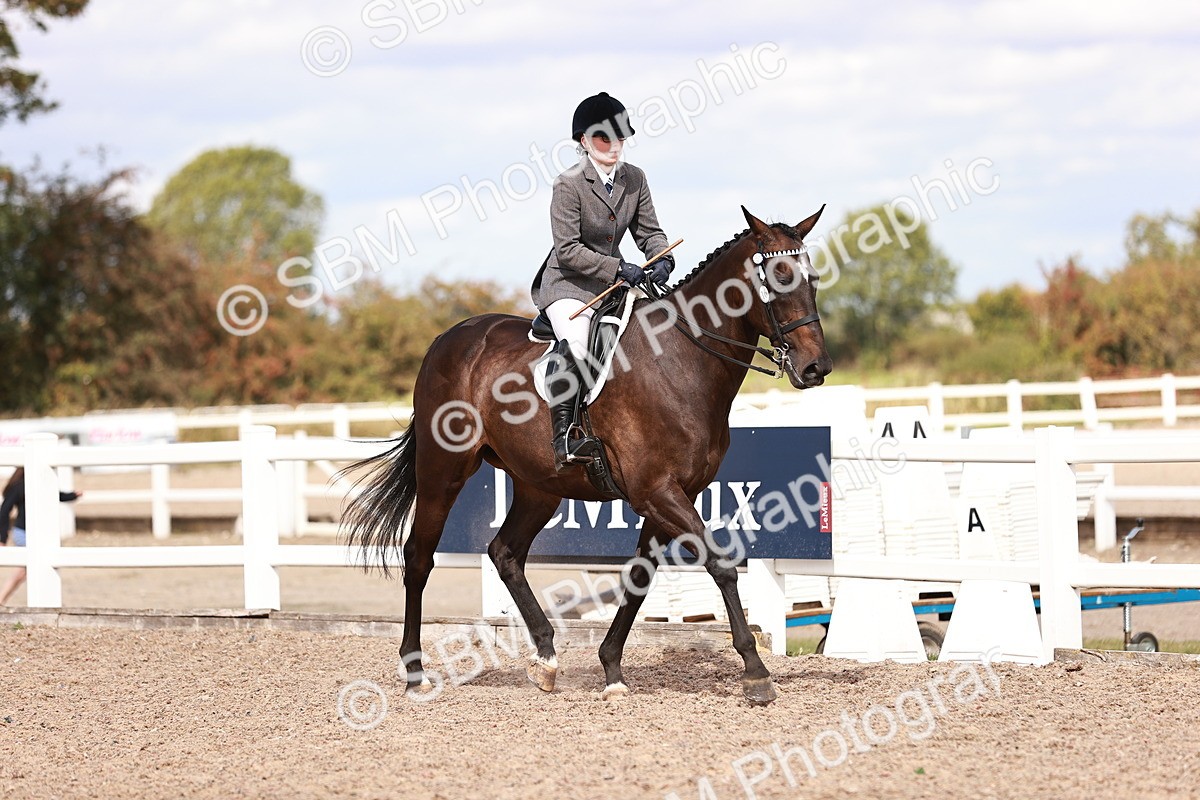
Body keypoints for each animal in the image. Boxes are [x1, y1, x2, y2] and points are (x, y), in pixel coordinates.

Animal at [341, 205, 832, 705]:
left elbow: (639, 578)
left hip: (539, 486)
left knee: (505, 553)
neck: (681, 362)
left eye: (812, 278)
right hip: (444, 469)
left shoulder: (670, 496)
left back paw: (545, 659)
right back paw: (415, 670)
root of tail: (448, 337)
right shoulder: (657, 492)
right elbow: (721, 565)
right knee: (419, 556)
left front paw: (611, 668)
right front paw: (755, 672)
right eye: (780, 276)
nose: (816, 368)